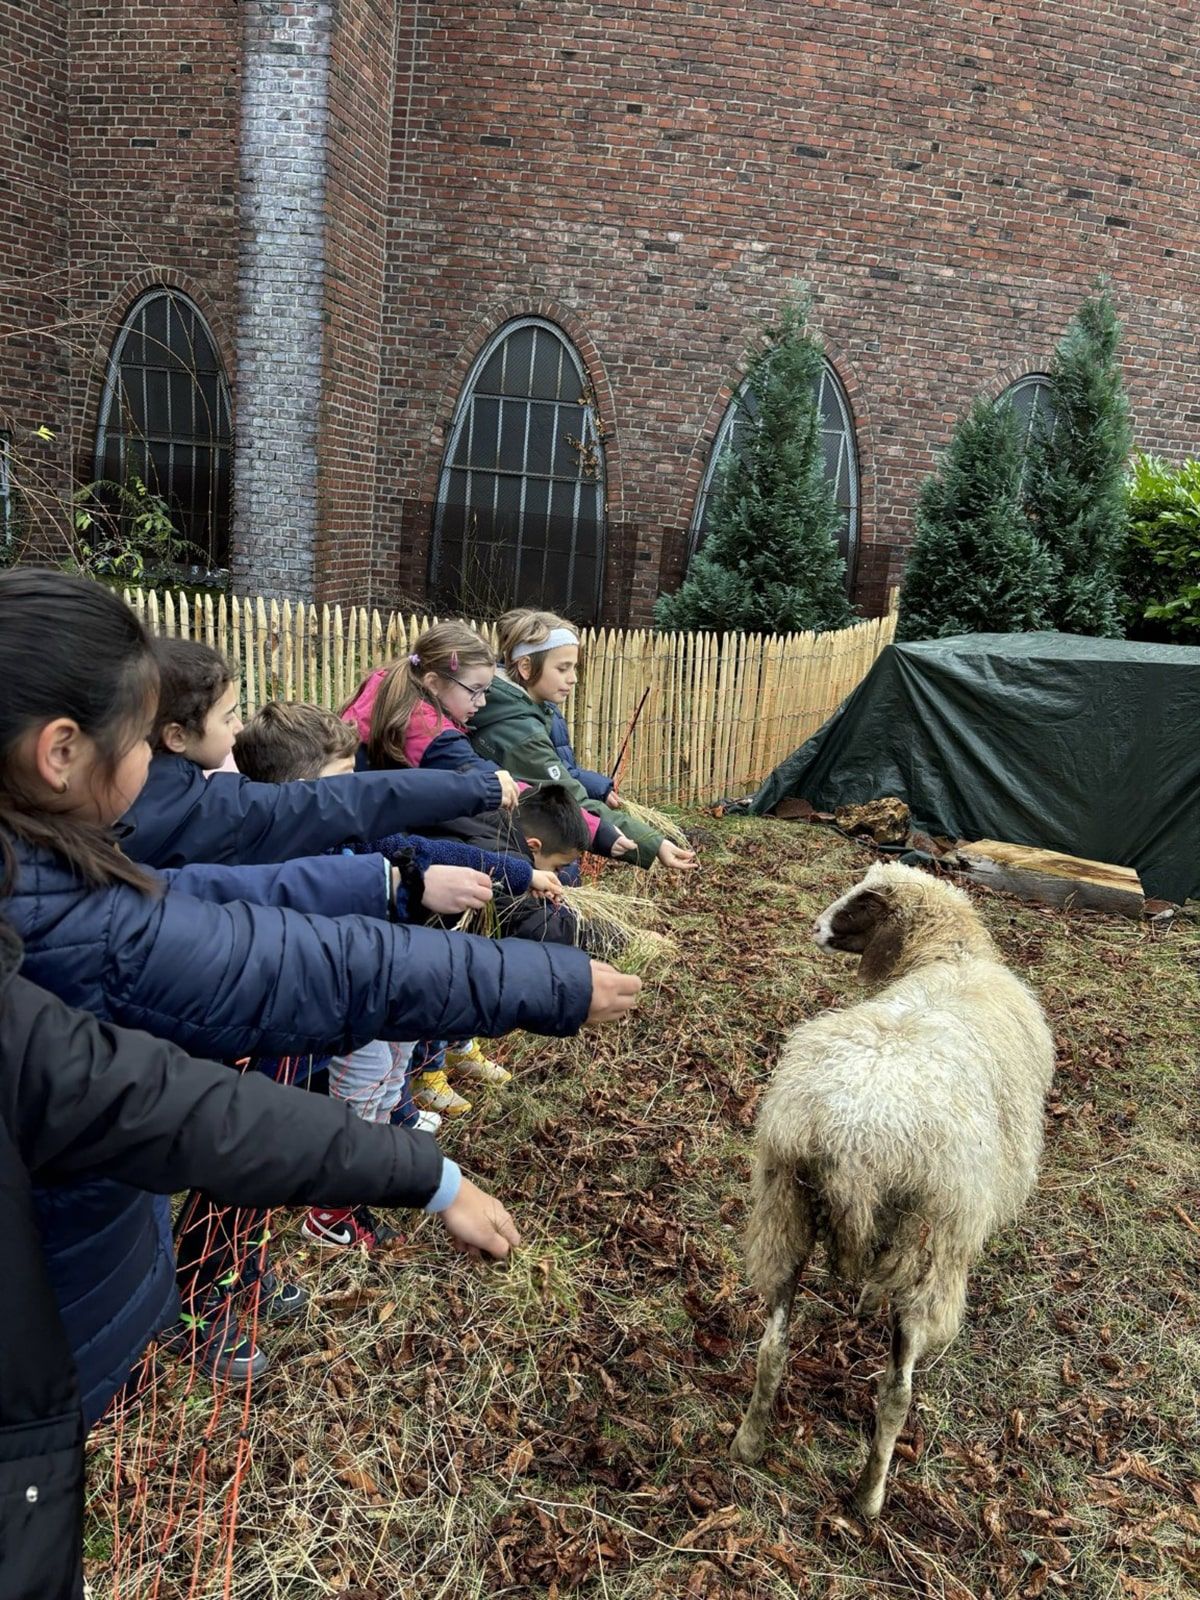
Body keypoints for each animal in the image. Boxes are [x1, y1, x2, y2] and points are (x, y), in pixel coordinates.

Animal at [732, 864, 1049, 1510]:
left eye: (863, 904)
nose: (816, 926)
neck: (948, 955)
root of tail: (854, 1136)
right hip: (928, 1245)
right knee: (896, 1392)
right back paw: (869, 1497)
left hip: (783, 1209)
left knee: (773, 1346)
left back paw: (748, 1443)